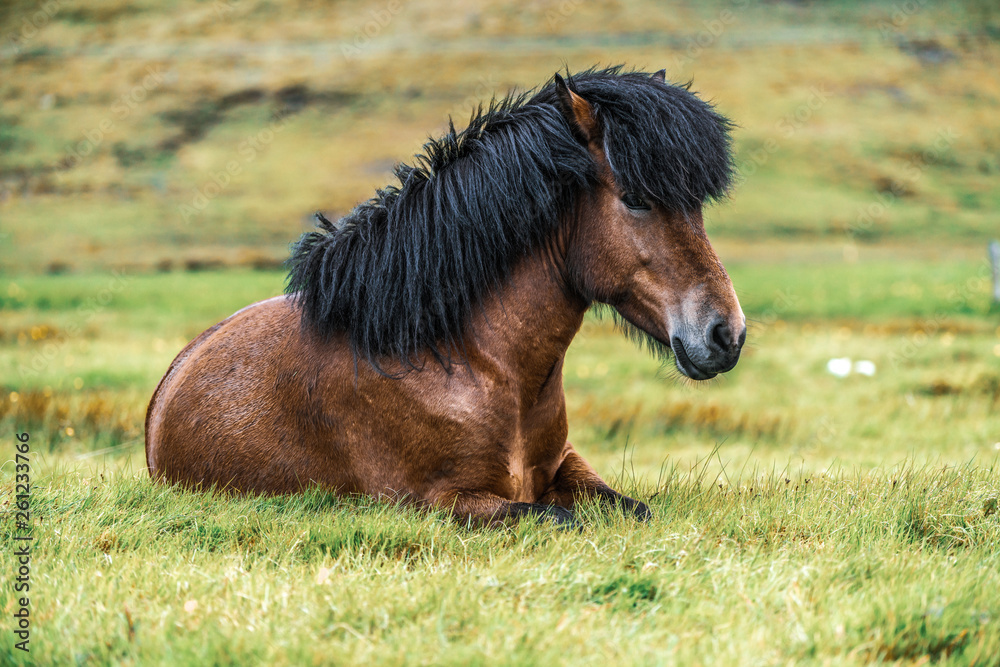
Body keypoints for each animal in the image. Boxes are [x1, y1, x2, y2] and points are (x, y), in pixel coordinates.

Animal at [145, 68, 748, 528]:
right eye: (637, 198)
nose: (727, 333)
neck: (472, 360)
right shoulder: (438, 502)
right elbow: (558, 518)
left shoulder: (568, 466)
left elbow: (631, 508)